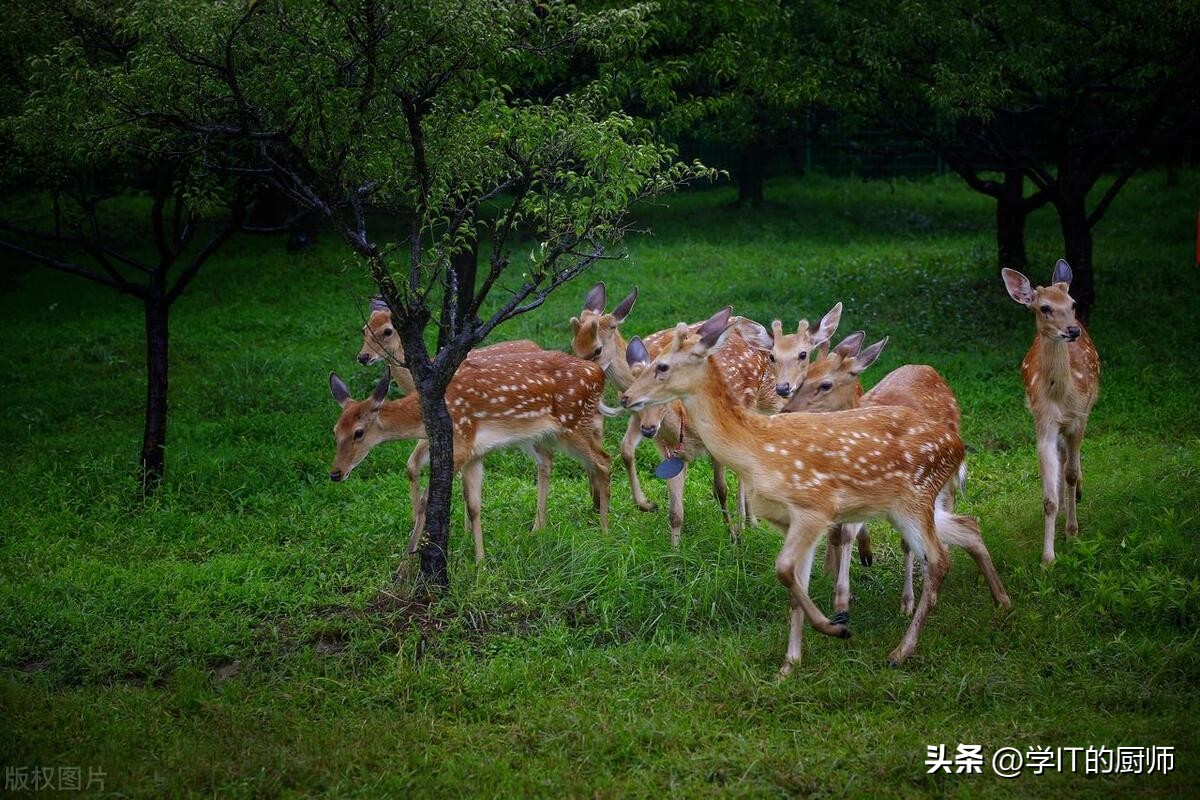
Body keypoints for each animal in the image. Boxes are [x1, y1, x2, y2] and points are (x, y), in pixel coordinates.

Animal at [328, 349, 615, 563]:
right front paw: (480, 561)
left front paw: (406, 563)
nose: (335, 473)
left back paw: (604, 531)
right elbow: (473, 505)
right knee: (553, 462)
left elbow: (425, 501)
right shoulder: (473, 454)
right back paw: (538, 530)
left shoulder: (461, 444)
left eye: (358, 433)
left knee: (604, 460)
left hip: (574, 422)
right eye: (335, 430)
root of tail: (600, 374)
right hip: (546, 434)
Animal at [570, 282, 777, 546]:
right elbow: (626, 450)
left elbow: (720, 485)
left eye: (596, 350)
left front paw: (734, 534)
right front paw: (646, 504)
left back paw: (749, 523)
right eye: (573, 346)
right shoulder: (641, 418)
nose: (579, 379)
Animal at [621, 307, 976, 672]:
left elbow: (784, 568)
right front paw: (790, 664)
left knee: (939, 559)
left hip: (916, 499)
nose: (626, 397)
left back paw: (901, 649)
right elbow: (794, 584)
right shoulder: (789, 520)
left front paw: (836, 626)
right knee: (956, 537)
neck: (756, 451)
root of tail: (957, 445)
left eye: (662, 366)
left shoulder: (815, 507)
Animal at [784, 333, 1011, 617]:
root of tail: (928, 368)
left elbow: (874, 538)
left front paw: (898, 600)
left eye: (825, 384)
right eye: (804, 376)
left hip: (940, 478)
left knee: (941, 515)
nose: (787, 411)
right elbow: (841, 531)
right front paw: (841, 581)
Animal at [1001, 260, 1100, 565]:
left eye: (1073, 303)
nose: (1072, 330)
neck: (1063, 399)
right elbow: (1048, 498)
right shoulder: (1043, 421)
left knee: (1071, 464)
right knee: (1062, 457)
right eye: (1044, 307)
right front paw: (1048, 558)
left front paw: (1072, 533)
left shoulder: (1079, 418)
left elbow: (1071, 473)